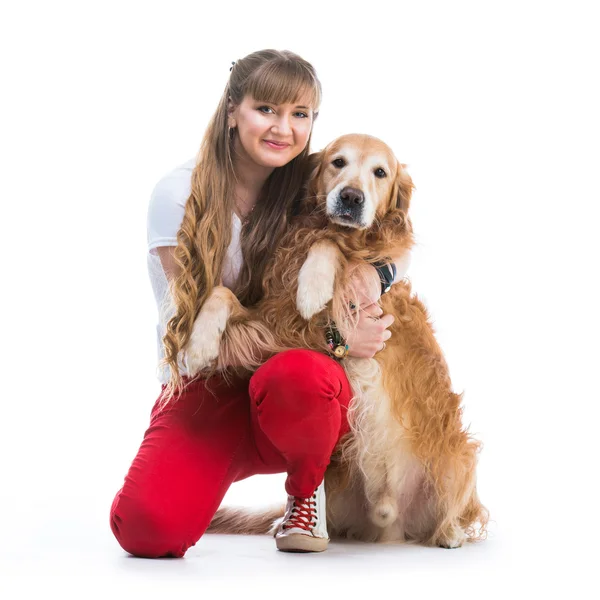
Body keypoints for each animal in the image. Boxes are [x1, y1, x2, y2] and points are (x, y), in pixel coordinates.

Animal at [185, 134, 490, 548]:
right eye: (338, 162)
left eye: (380, 172)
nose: (350, 197)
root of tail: (389, 523)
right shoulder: (276, 319)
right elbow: (221, 292)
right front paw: (198, 345)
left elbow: (330, 246)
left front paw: (313, 284)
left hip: (459, 454)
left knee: (456, 510)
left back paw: (450, 533)